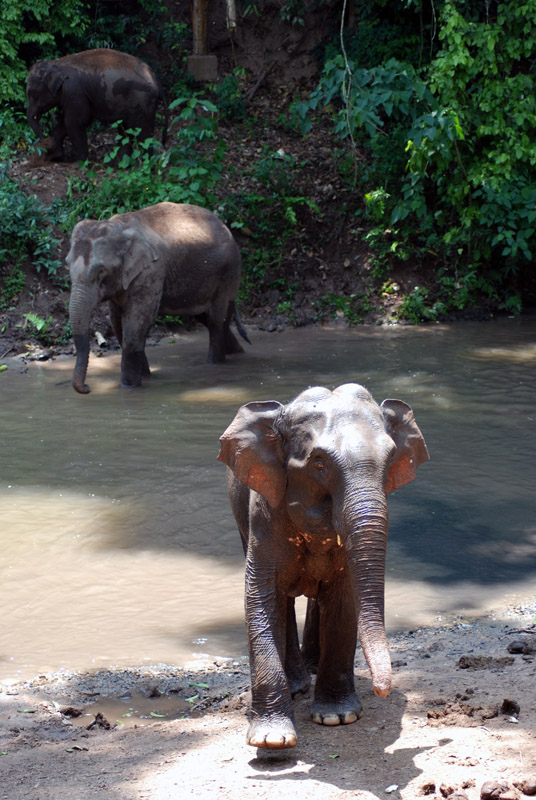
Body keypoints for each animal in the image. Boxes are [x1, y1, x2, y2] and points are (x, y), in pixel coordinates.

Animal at [25, 47, 166, 162]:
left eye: (30, 93)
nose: (45, 141)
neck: (57, 63)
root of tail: (156, 80)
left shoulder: (74, 92)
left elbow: (75, 122)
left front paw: (82, 163)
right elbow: (70, 122)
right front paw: (56, 153)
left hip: (141, 102)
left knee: (143, 134)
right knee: (125, 131)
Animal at [67, 200, 249, 394]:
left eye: (101, 271)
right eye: (67, 264)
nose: (87, 387)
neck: (119, 227)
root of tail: (225, 227)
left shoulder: (151, 273)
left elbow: (135, 326)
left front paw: (129, 387)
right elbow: (118, 325)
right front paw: (144, 377)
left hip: (229, 271)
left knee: (217, 321)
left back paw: (216, 364)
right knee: (209, 318)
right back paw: (238, 353)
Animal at [219, 386, 432, 752]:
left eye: (390, 459)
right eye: (319, 462)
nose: (382, 690)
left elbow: (344, 598)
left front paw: (337, 717)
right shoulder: (264, 512)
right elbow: (260, 596)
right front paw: (271, 740)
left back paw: (313, 669)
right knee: (285, 600)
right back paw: (297, 685)